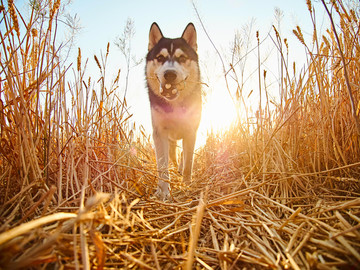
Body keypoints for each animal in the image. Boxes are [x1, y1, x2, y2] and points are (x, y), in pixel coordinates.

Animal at [146, 22, 202, 198]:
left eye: (182, 58)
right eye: (160, 58)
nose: (169, 74)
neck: (175, 104)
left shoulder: (191, 131)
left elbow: (188, 163)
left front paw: (187, 185)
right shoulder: (160, 133)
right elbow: (162, 166)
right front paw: (163, 191)